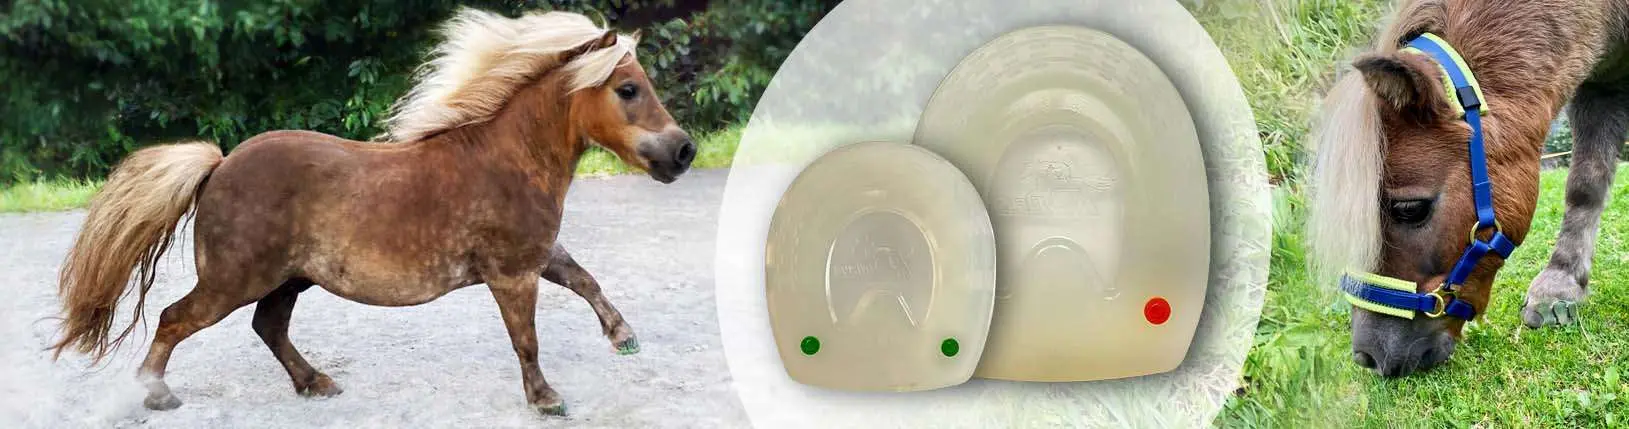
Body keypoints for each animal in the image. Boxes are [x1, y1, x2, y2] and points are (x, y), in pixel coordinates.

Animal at [48, 8, 695, 416]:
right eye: (628, 89)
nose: (683, 152)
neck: (505, 158)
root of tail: (220, 164)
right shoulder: (511, 272)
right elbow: (527, 339)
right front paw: (547, 400)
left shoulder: (535, 255)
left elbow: (585, 279)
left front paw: (623, 337)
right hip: (235, 280)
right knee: (174, 319)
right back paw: (155, 395)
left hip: (290, 279)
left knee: (267, 327)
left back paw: (317, 383)